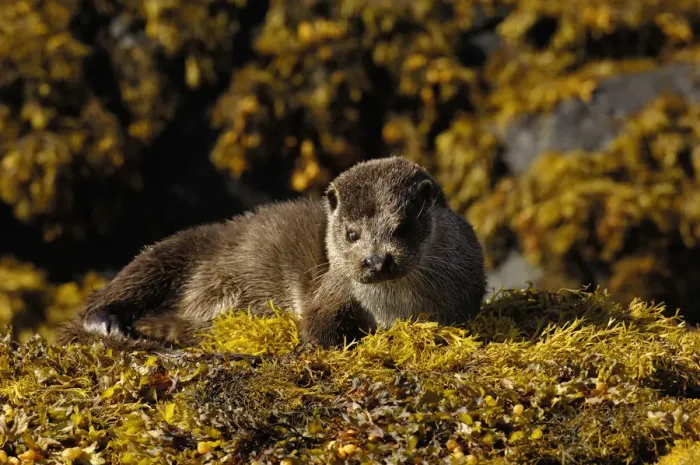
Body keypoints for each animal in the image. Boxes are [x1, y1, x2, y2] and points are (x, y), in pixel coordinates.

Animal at [56, 156, 487, 349]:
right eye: (352, 234)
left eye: (402, 227)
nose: (376, 260)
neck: (395, 308)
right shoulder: (331, 290)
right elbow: (316, 326)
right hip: (172, 250)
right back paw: (110, 326)